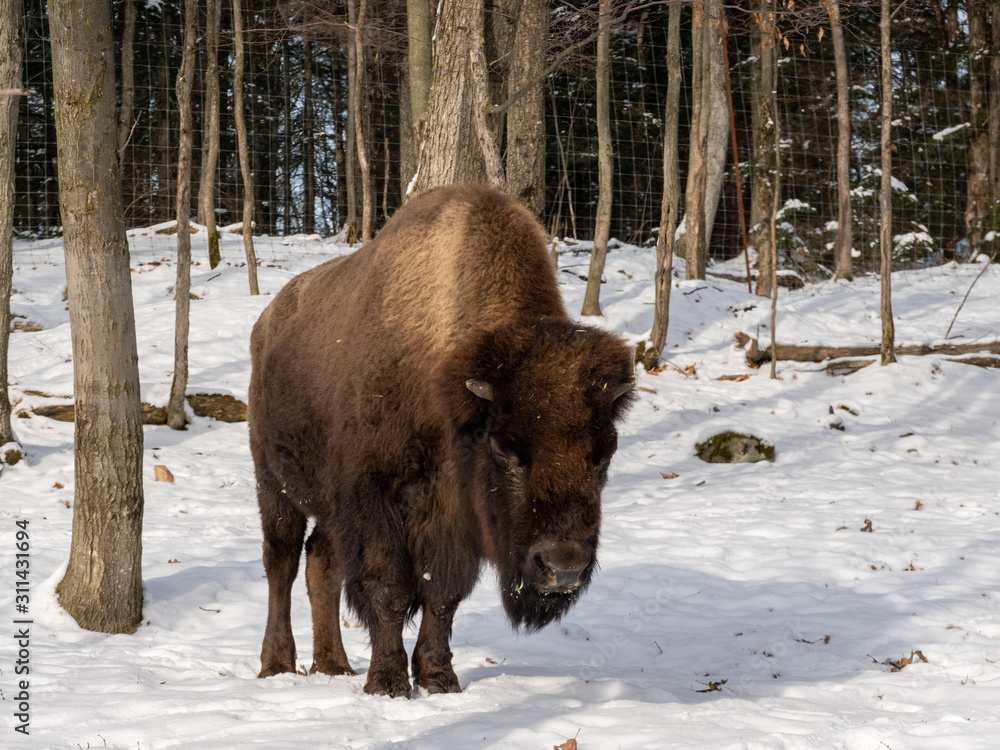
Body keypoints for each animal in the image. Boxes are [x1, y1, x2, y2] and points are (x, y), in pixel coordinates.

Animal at [248, 183, 635, 697]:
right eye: (505, 451)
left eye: (602, 455)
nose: (564, 568)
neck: (449, 387)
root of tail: (267, 322)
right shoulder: (374, 498)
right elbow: (388, 588)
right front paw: (388, 682)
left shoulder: (453, 517)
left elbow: (442, 594)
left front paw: (438, 678)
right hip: (274, 483)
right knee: (282, 562)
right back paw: (277, 664)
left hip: (329, 508)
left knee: (320, 565)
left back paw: (334, 665)